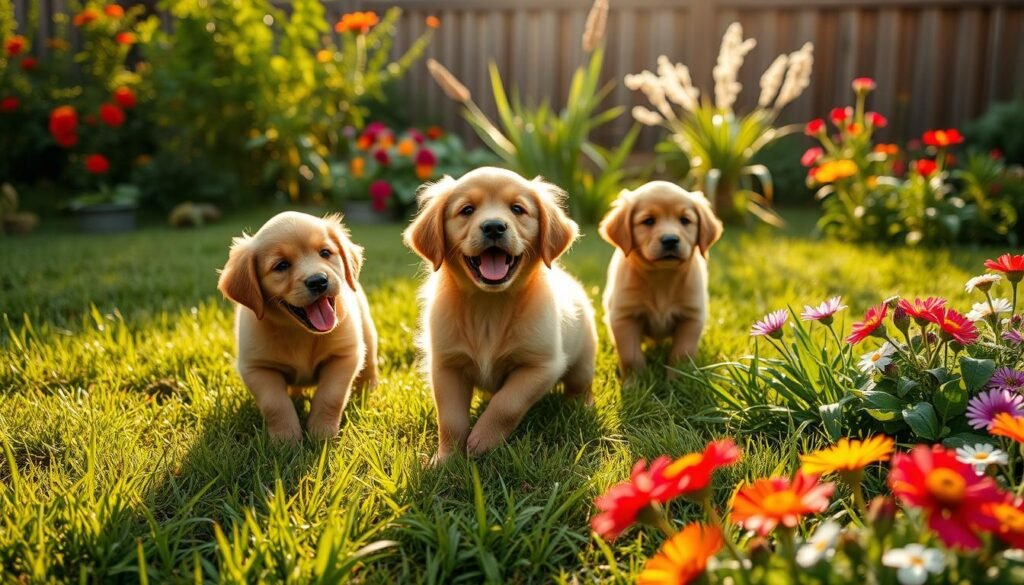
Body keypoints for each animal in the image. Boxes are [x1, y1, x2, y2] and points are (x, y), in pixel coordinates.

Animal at [218, 213, 378, 442]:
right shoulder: (256, 367)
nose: (318, 281)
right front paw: (286, 440)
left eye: (325, 253)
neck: (300, 331)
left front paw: (321, 434)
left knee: (371, 361)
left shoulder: (344, 356)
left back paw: (368, 389)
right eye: (281, 265)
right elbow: (275, 404)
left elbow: (330, 397)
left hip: (367, 329)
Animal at [403, 165, 598, 463]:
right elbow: (450, 419)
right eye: (467, 210)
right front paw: (447, 459)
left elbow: (507, 404)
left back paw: (580, 408)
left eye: (517, 209)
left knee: (579, 386)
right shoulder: (446, 365)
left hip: (583, 361)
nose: (494, 226)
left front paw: (482, 440)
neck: (489, 306)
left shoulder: (541, 366)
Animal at [598, 181, 724, 377]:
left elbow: (682, 353)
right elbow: (630, 356)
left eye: (685, 220)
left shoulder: (691, 316)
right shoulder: (624, 316)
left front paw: (677, 380)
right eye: (648, 221)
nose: (670, 240)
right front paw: (636, 381)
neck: (662, 276)